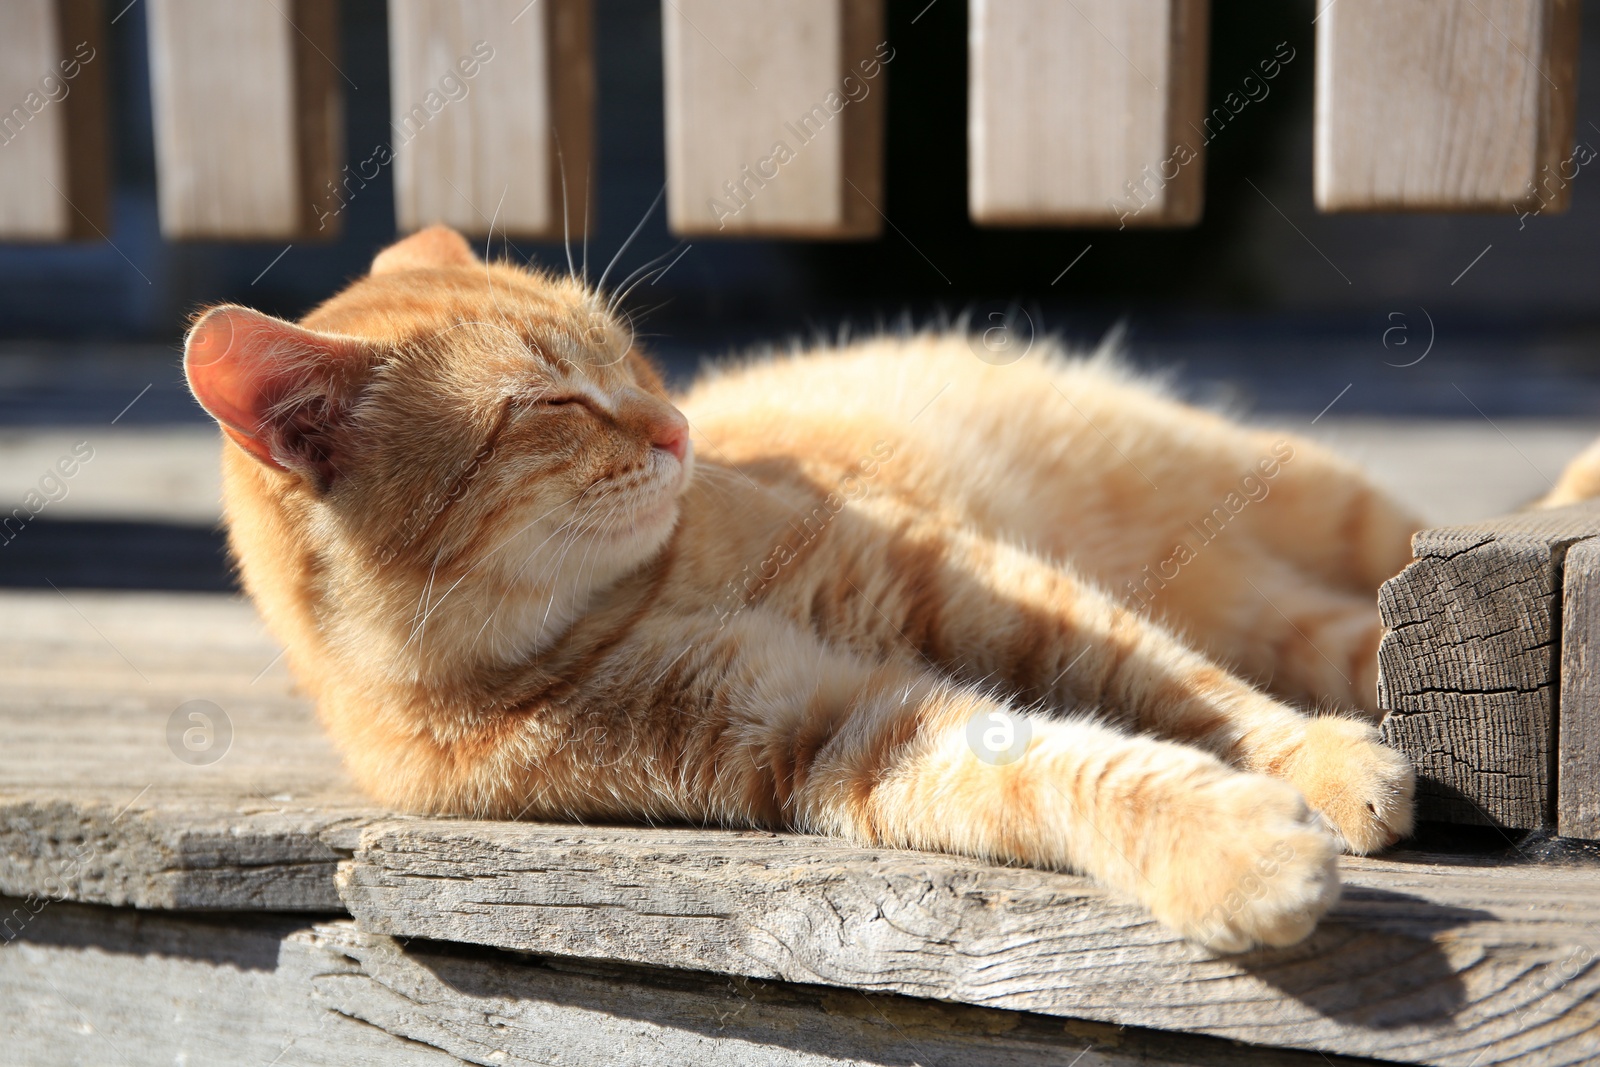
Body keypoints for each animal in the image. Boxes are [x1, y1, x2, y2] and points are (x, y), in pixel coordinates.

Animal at [178, 225, 1427, 953]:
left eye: (628, 354)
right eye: (552, 405)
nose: (678, 426)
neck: (622, 601)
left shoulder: (970, 587)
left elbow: (1184, 688)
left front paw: (1318, 760)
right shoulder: (839, 733)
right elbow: (1067, 769)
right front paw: (1236, 852)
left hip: (1303, 501)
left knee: (1365, 594)